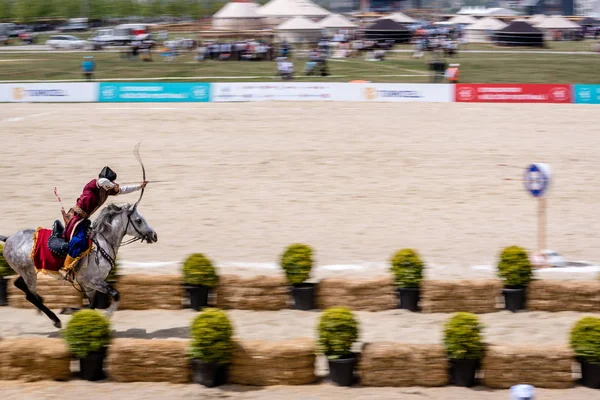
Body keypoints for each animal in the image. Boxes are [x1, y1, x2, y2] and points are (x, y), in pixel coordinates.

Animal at [0, 203, 157, 328]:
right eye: (138, 220)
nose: (154, 235)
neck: (102, 244)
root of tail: (8, 239)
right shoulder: (92, 281)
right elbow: (115, 295)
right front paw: (107, 316)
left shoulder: (89, 284)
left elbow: (92, 306)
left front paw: (73, 312)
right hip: (30, 274)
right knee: (30, 296)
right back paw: (55, 320)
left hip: (28, 272)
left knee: (20, 285)